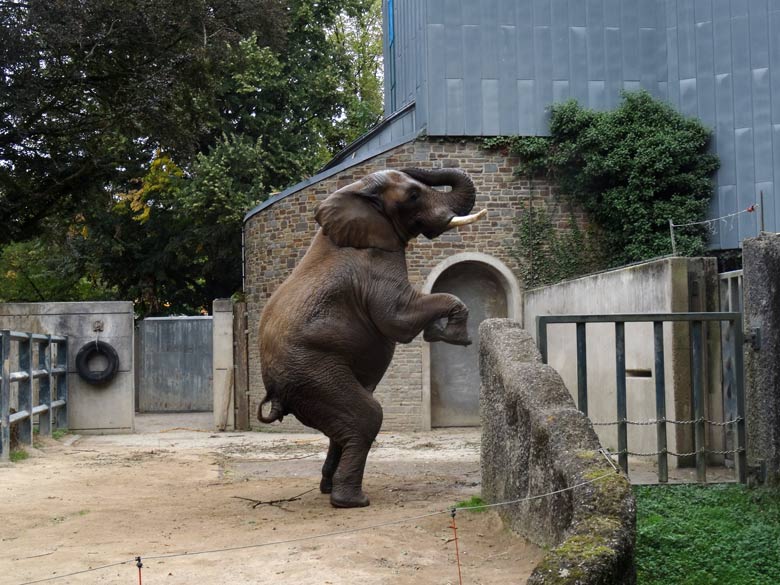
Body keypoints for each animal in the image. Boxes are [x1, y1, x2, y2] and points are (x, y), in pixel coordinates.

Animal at [258, 165, 484, 506]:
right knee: (367, 416)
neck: (357, 194)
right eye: (413, 195)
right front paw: (454, 337)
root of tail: (273, 390)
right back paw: (351, 501)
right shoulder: (374, 265)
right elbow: (398, 319)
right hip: (310, 371)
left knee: (341, 427)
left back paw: (329, 488)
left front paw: (437, 332)